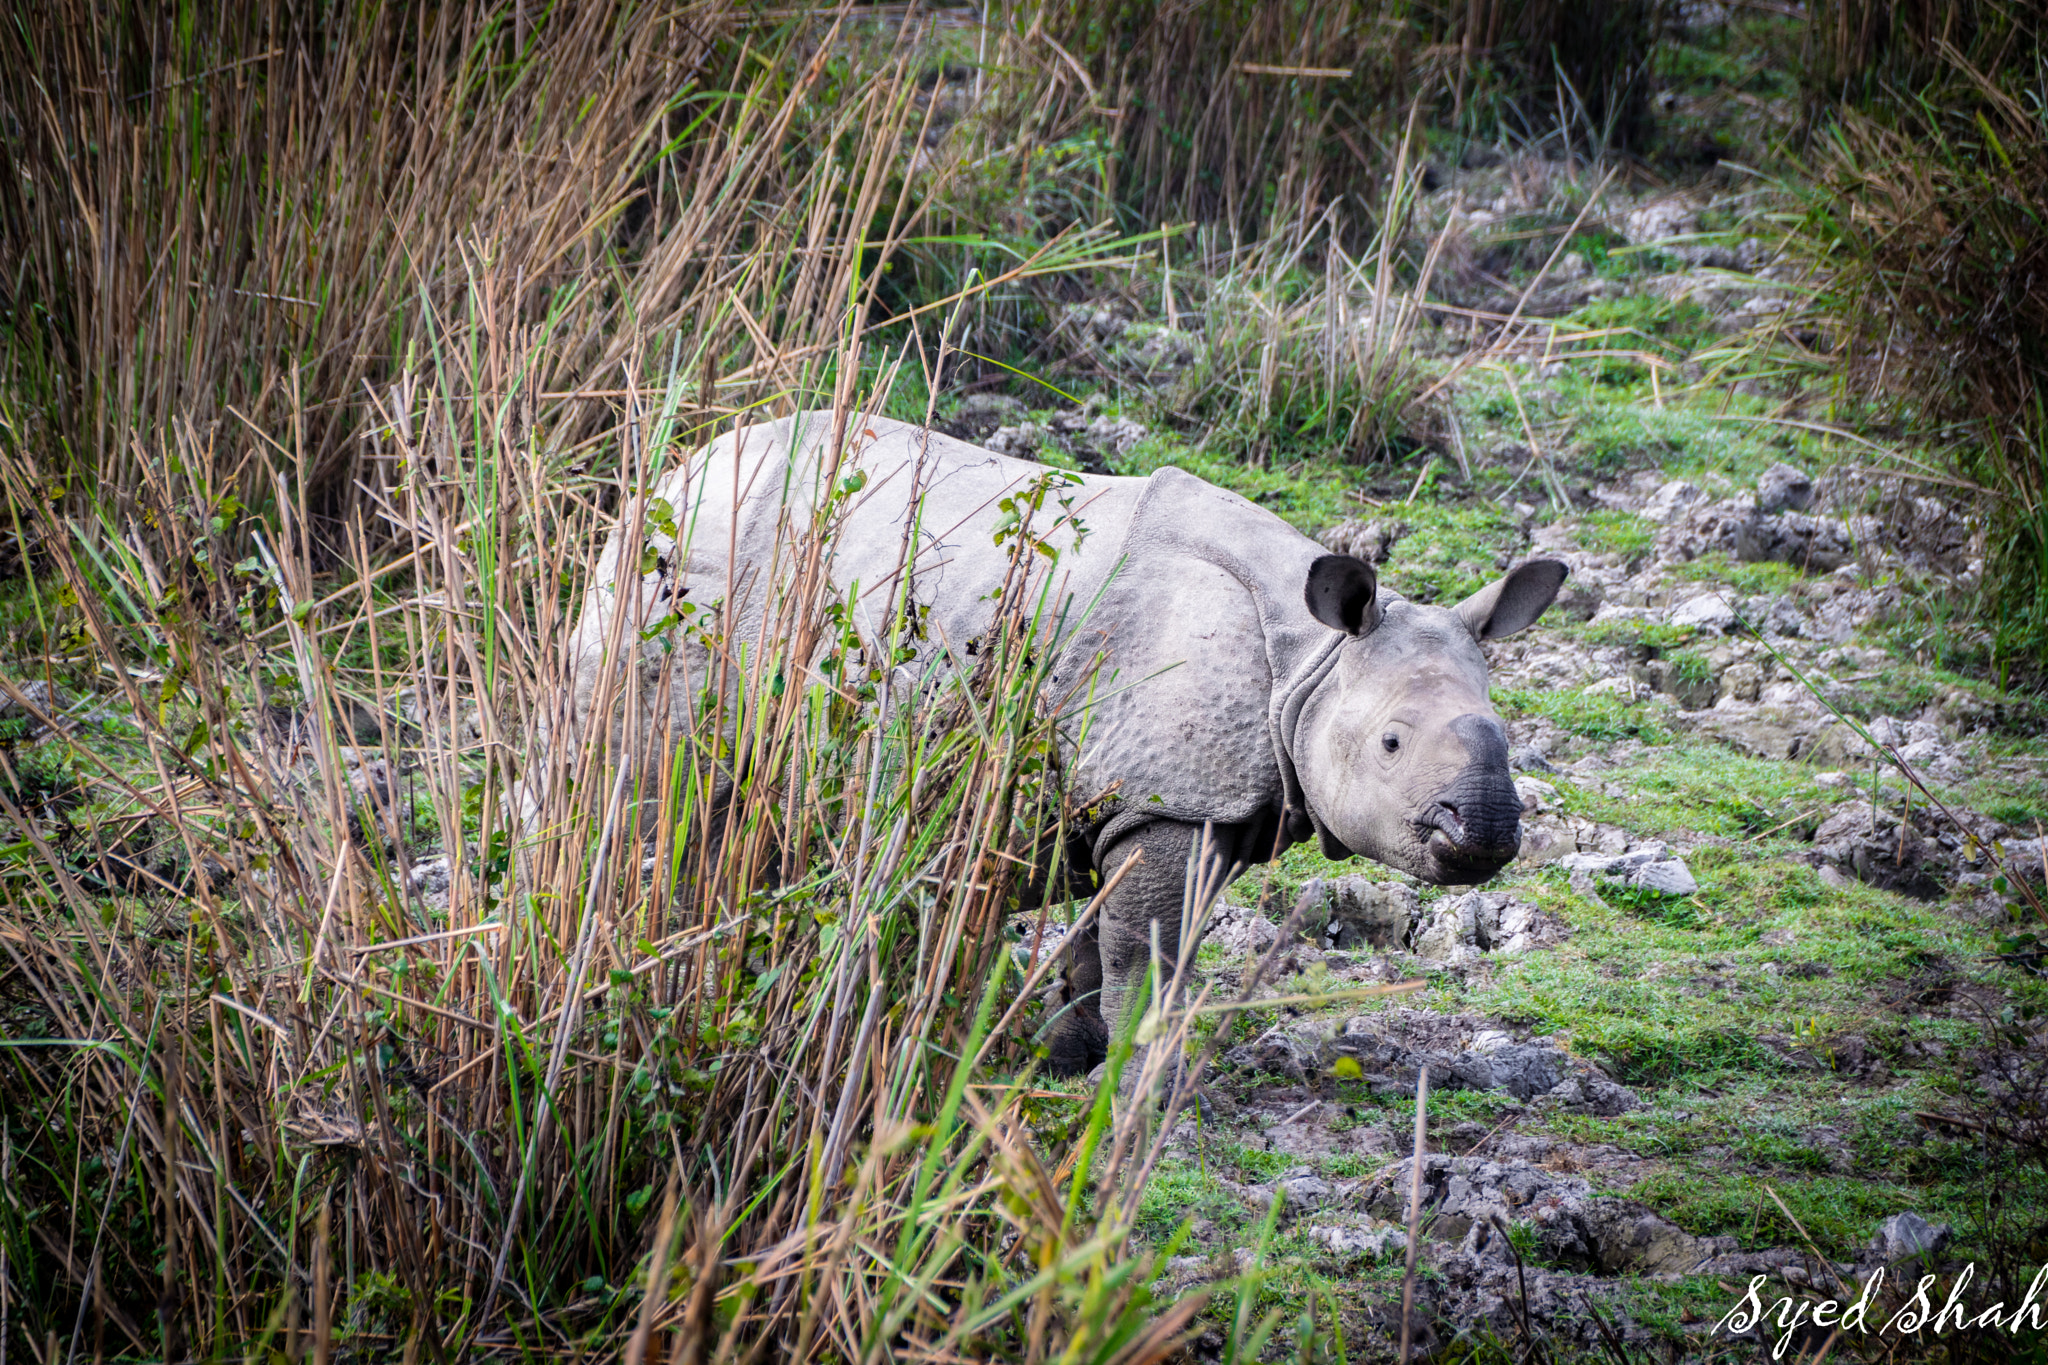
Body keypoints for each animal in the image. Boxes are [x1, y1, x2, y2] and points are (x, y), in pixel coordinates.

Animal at [537, 413, 1566, 1075]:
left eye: (1509, 737)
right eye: (1390, 743)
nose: (1484, 831)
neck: (1309, 659)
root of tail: (674, 468)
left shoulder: (1179, 797)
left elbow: (1102, 941)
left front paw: (1067, 1062)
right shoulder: (1166, 795)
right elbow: (1145, 957)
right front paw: (1140, 1085)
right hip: (673, 574)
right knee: (645, 783)